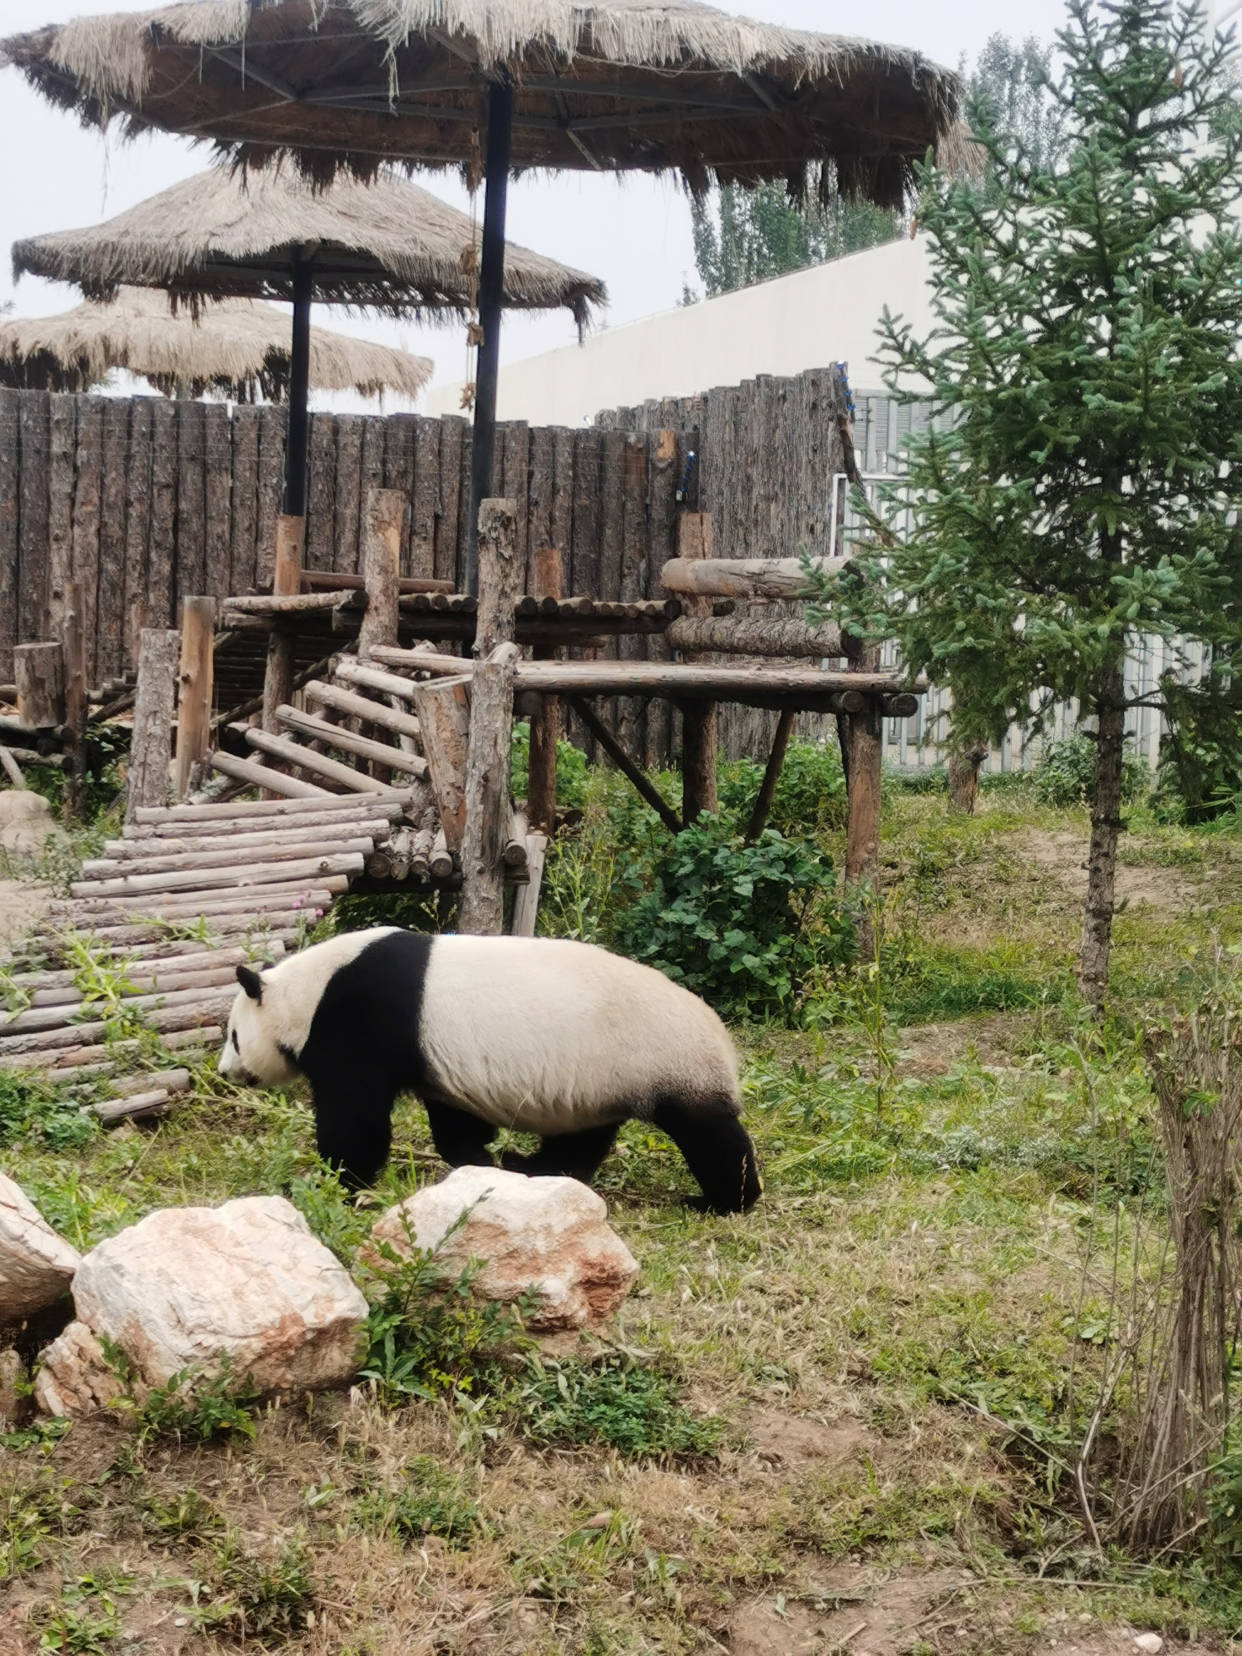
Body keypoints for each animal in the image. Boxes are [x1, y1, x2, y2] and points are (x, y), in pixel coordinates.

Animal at [218, 933, 765, 1218]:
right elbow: (453, 1121)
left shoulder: (360, 1021)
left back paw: (723, 1200)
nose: (226, 1074)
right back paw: (533, 1167)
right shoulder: (435, 1059)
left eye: (234, 1036)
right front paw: (480, 1163)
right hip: (598, 1081)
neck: (307, 990)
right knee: (583, 1137)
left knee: (710, 1135)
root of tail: (720, 1035)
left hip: (660, 1058)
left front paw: (332, 1182)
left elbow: (356, 1121)